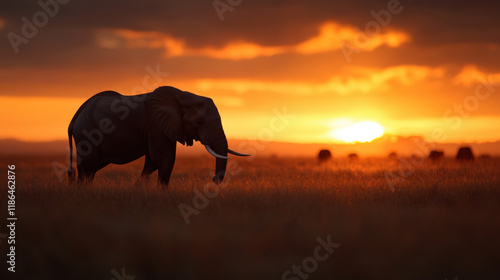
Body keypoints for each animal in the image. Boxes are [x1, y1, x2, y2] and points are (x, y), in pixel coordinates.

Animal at [67, 85, 250, 186]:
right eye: (198, 123)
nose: (213, 179)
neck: (183, 96)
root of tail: (75, 118)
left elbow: (158, 160)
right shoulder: (156, 125)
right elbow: (162, 159)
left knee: (90, 170)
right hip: (87, 135)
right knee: (86, 169)